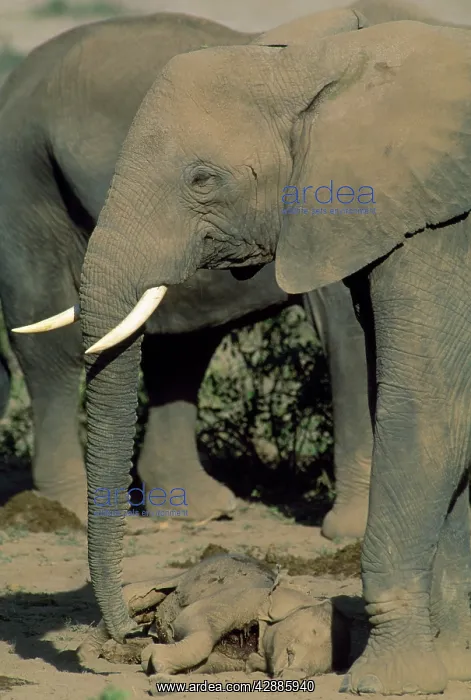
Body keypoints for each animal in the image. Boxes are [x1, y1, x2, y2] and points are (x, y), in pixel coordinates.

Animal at [0, 9, 376, 533]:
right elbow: (351, 329)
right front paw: (350, 534)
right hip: (24, 178)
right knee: (50, 348)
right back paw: (69, 508)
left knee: (181, 348)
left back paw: (201, 509)